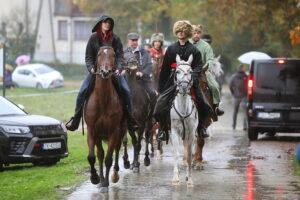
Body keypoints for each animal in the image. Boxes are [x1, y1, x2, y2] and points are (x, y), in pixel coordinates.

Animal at [83, 46, 126, 193]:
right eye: (99, 54)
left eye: (113, 55)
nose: (105, 72)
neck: (102, 100)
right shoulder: (92, 131)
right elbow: (93, 156)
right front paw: (95, 178)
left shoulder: (114, 131)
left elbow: (108, 158)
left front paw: (106, 183)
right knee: (100, 154)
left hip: (120, 131)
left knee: (117, 149)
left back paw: (114, 175)